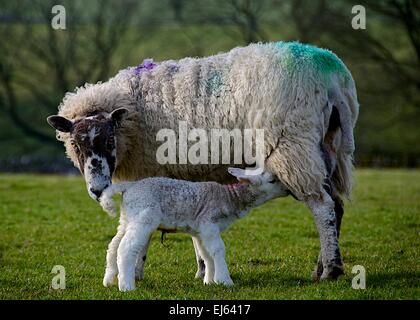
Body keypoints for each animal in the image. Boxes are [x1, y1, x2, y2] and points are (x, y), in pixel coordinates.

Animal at [99, 169, 288, 292]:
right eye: (272, 180)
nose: (287, 189)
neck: (229, 198)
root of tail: (129, 186)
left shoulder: (201, 231)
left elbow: (206, 254)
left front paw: (210, 281)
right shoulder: (209, 223)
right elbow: (218, 250)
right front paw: (225, 280)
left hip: (127, 218)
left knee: (113, 246)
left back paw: (109, 280)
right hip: (144, 217)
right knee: (126, 248)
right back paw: (127, 286)